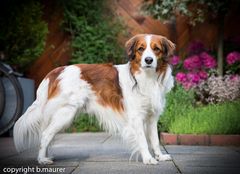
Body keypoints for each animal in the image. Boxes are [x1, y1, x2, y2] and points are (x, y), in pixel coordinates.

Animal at [13, 33, 174, 164]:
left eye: (156, 49)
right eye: (141, 49)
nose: (148, 60)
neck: (147, 78)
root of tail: (57, 70)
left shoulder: (152, 117)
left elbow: (155, 140)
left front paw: (159, 156)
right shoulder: (136, 117)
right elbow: (143, 140)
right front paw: (148, 158)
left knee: (48, 135)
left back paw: (46, 156)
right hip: (65, 113)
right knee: (46, 134)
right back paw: (42, 159)